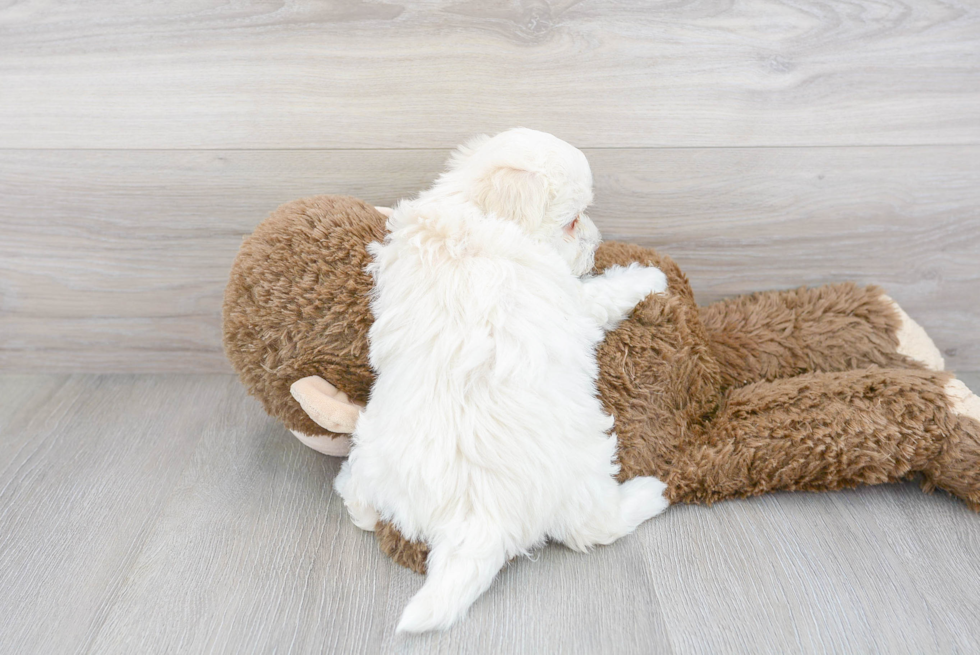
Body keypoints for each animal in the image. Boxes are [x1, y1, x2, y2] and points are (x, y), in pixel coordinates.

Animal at [334, 125, 668, 632]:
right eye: (573, 221)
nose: (597, 242)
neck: (472, 210)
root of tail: (478, 521)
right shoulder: (573, 300)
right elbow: (604, 293)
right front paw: (647, 277)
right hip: (584, 465)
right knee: (595, 526)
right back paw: (648, 494)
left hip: (372, 448)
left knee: (363, 505)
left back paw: (352, 491)